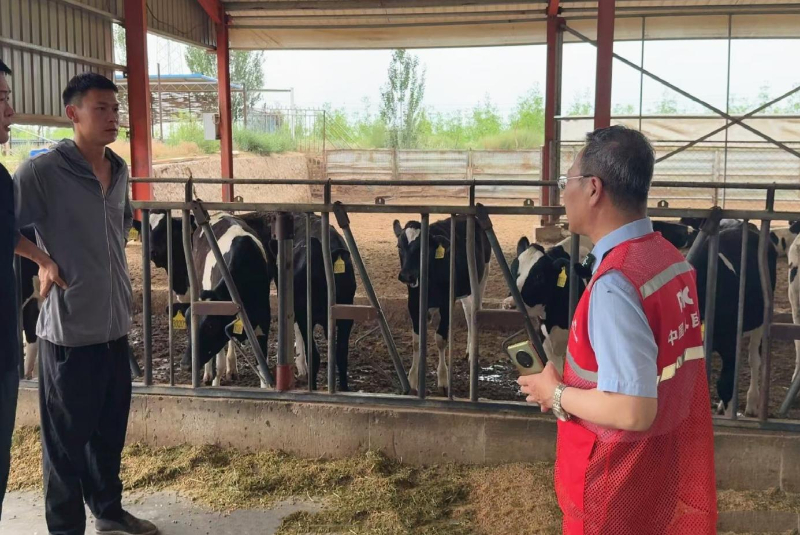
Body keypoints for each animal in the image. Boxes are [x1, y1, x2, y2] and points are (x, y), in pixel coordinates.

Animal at [393, 217, 491, 396]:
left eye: (423, 247)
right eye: (399, 246)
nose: (406, 275)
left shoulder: (446, 303)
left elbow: (440, 339)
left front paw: (443, 381)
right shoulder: (413, 304)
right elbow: (417, 341)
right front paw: (413, 381)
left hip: (482, 278)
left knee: (475, 312)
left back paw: (473, 353)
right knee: (468, 312)